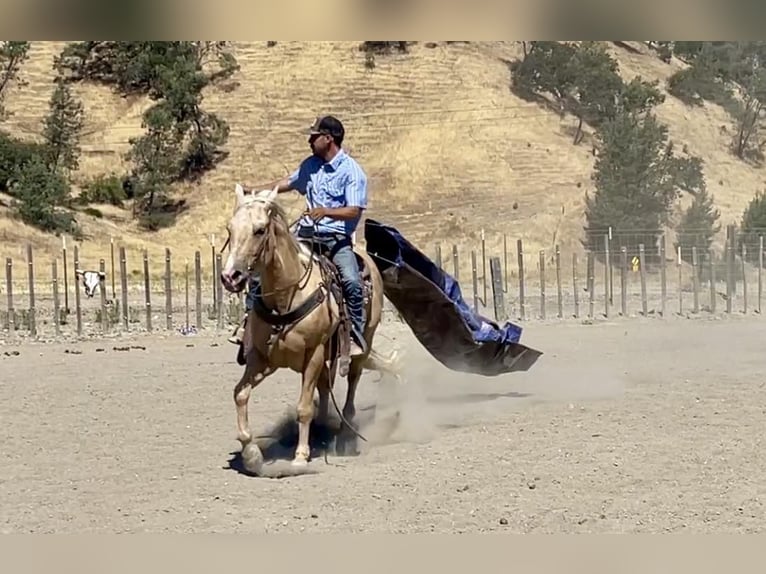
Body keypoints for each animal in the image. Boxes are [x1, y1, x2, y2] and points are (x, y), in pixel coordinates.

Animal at [219, 183, 401, 476]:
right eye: (230, 228)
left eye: (260, 230)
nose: (230, 277)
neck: (286, 297)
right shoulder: (261, 358)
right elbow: (240, 394)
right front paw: (251, 454)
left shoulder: (313, 353)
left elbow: (303, 407)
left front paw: (300, 457)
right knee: (326, 387)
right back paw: (323, 431)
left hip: (362, 344)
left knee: (352, 383)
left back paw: (344, 437)